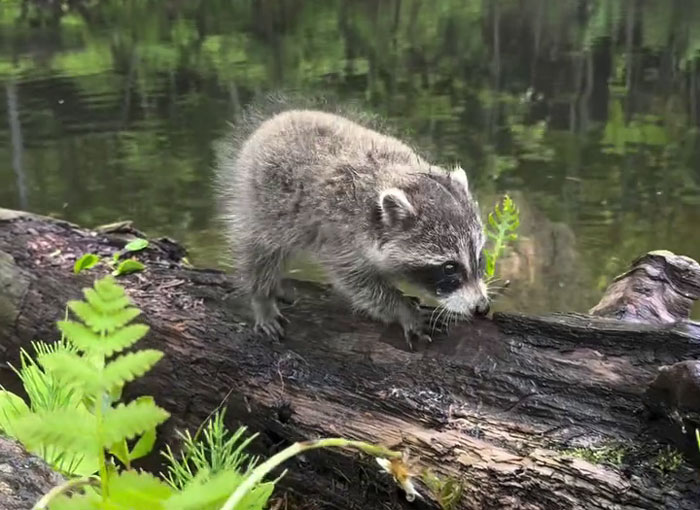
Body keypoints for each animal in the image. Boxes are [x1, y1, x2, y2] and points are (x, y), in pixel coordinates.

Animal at [214, 108, 489, 349]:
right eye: (449, 267)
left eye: (479, 258)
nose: (482, 307)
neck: (399, 177)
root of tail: (277, 121)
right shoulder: (341, 235)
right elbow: (358, 284)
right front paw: (402, 310)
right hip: (260, 203)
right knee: (259, 251)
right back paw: (262, 296)